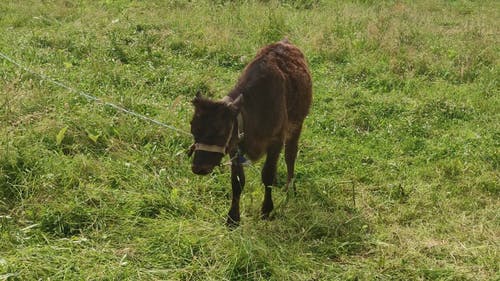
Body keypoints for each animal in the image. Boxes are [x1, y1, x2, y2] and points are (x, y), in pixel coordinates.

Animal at [188, 38, 310, 223]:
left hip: (297, 124)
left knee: (290, 155)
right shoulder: (234, 146)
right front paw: (233, 218)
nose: (199, 168)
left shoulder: (276, 140)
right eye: (193, 129)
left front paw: (266, 210)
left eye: (221, 131)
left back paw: (289, 187)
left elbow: (267, 174)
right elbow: (237, 181)